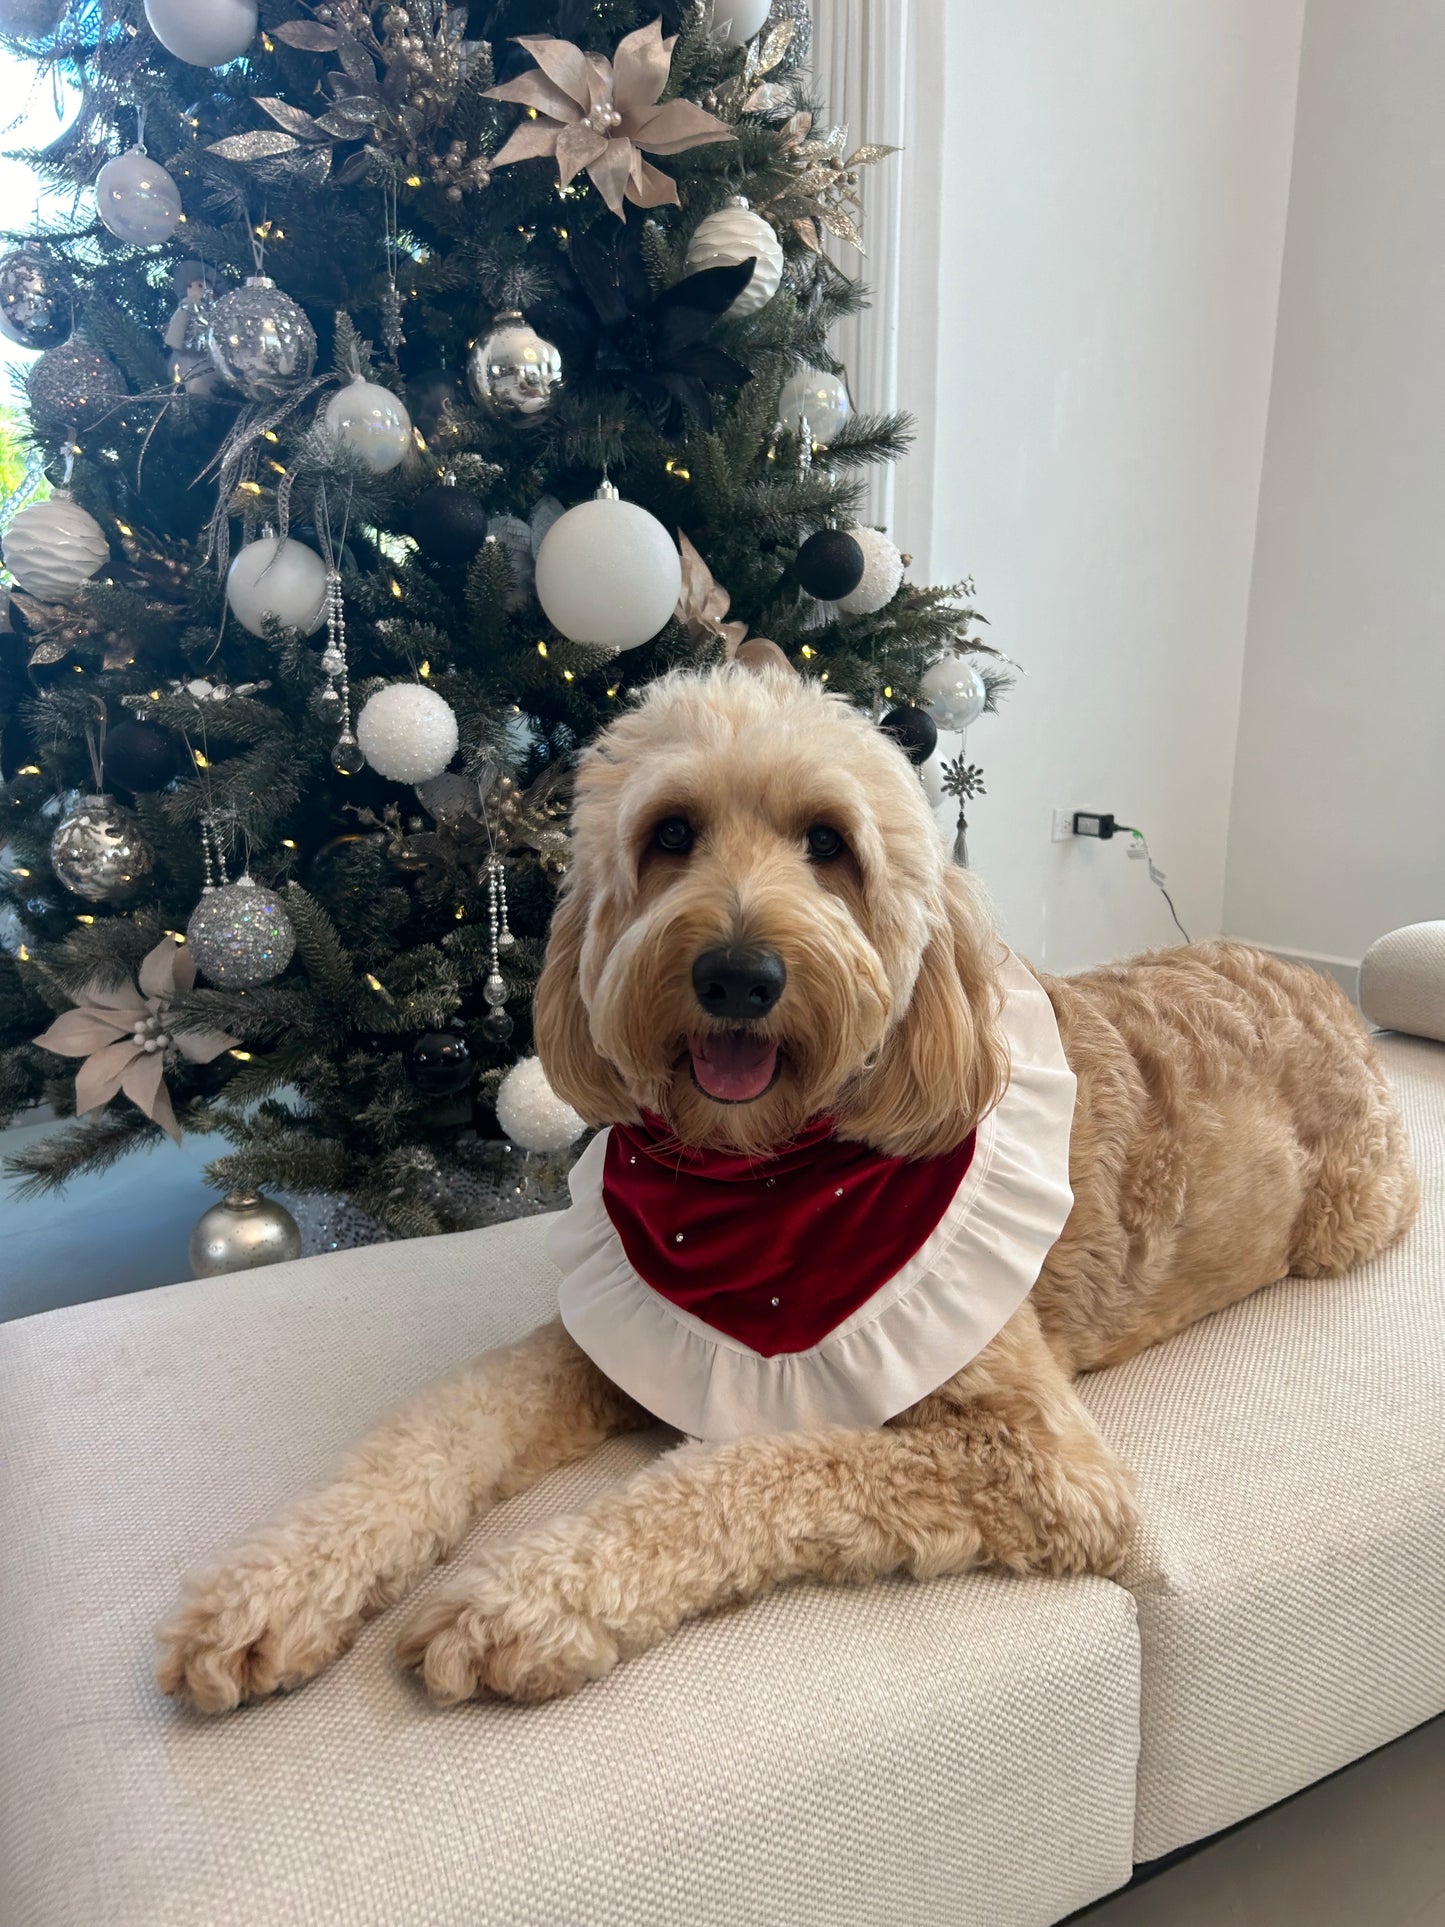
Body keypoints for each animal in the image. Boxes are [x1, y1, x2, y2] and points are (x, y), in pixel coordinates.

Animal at [156, 666, 1418, 1718]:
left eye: (828, 842)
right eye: (669, 833)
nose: (737, 974)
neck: (758, 1174)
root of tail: (1304, 975)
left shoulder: (1044, 1468)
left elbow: (761, 1463)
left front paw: (522, 1597)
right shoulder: (603, 1338)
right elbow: (436, 1427)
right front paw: (274, 1586)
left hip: (1355, 1217)